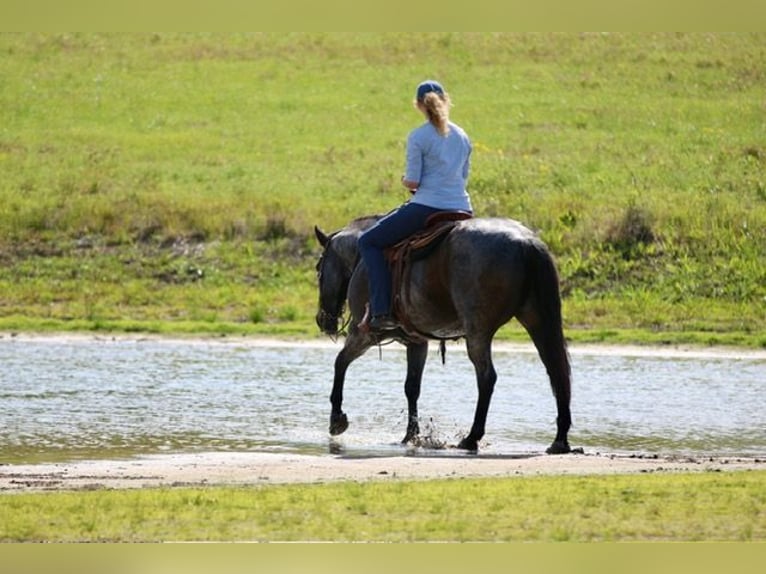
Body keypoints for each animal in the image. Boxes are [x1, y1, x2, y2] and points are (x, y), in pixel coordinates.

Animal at [313, 214, 572, 454]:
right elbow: (411, 387)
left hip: (478, 332)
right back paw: (560, 440)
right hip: (537, 322)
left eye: (318, 270)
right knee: (556, 372)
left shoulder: (362, 334)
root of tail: (526, 242)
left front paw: (336, 419)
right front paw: (411, 435)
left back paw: (471, 437)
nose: (322, 320)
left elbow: (340, 363)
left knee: (487, 377)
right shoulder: (417, 342)